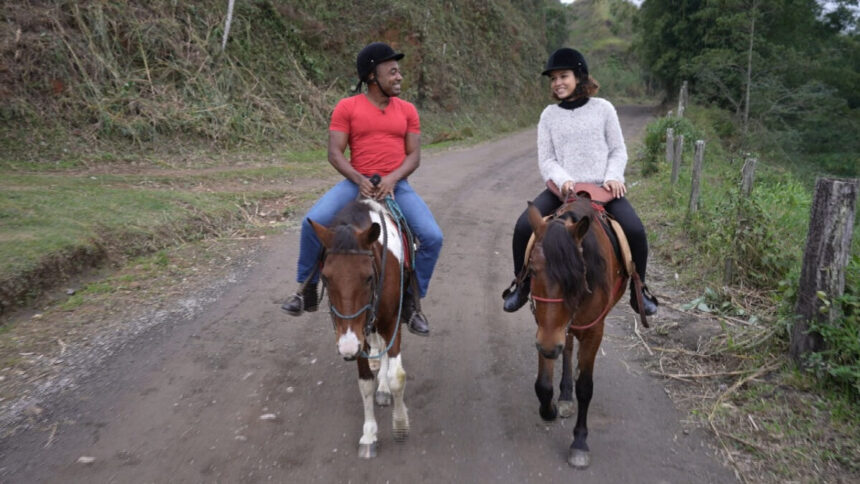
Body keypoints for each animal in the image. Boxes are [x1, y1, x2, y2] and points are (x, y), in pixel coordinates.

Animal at [310, 197, 410, 458]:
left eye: (367, 277)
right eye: (325, 278)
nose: (347, 348)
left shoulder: (392, 320)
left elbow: (397, 376)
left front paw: (400, 425)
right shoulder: (357, 333)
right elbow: (365, 382)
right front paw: (369, 434)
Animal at [524, 197, 624, 468]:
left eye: (577, 275)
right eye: (532, 270)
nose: (549, 346)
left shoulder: (593, 331)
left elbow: (586, 388)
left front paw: (579, 442)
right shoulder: (544, 329)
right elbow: (543, 384)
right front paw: (549, 410)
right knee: (567, 348)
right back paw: (565, 394)